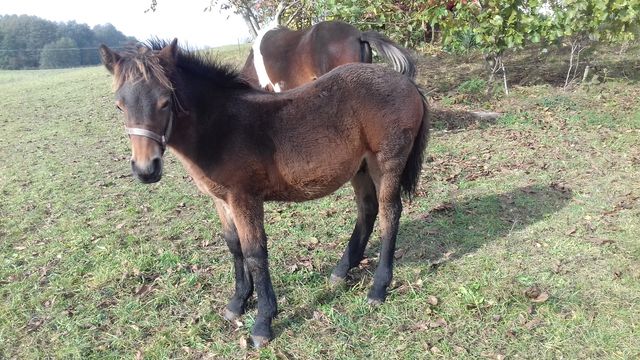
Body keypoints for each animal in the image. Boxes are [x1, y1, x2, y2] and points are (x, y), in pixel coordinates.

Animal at [100, 39, 430, 348]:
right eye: (119, 106)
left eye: (165, 102)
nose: (146, 169)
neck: (221, 128)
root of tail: (405, 81)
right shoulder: (221, 200)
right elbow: (234, 247)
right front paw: (237, 303)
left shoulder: (245, 198)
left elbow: (255, 253)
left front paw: (262, 323)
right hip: (359, 168)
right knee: (367, 210)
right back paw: (341, 271)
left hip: (386, 162)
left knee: (389, 213)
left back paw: (378, 287)